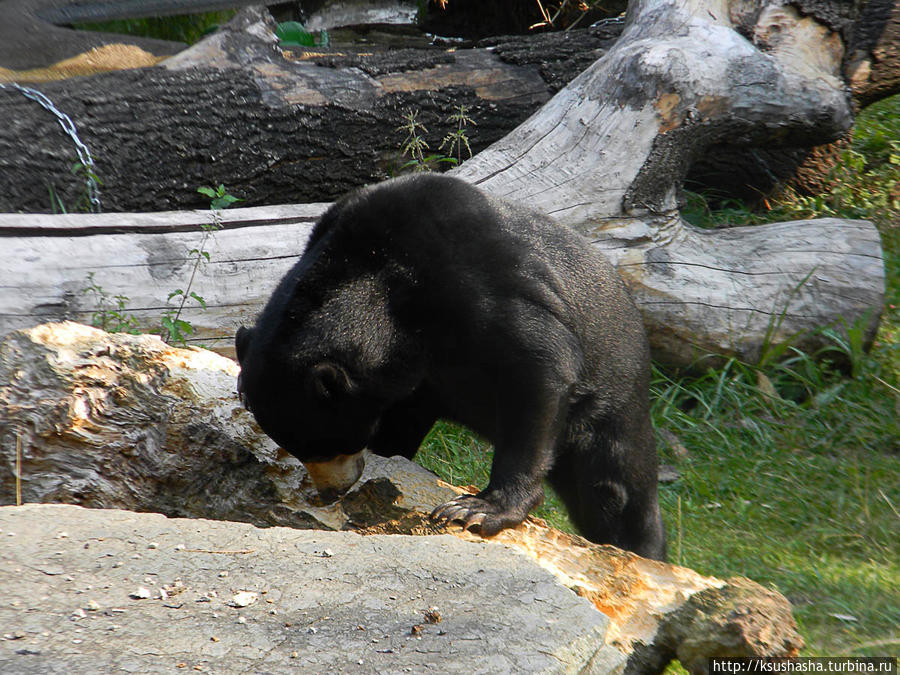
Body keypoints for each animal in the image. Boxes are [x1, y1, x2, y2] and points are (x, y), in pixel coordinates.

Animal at [236, 173, 664, 560]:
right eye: (299, 448)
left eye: (331, 444)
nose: (331, 492)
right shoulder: (412, 379)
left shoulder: (479, 285)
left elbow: (542, 365)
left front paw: (476, 510)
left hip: (611, 402)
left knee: (615, 491)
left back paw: (640, 549)